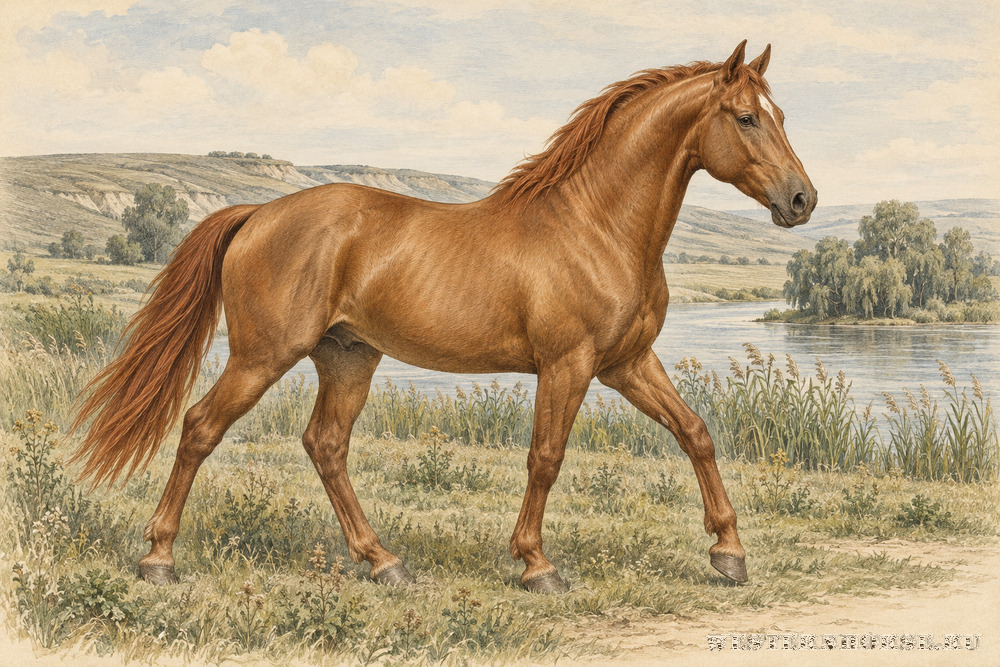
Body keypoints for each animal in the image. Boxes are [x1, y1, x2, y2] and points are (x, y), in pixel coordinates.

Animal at [71, 41, 815, 594]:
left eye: (781, 113)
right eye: (745, 117)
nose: (802, 199)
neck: (595, 226)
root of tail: (258, 213)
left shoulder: (627, 363)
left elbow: (696, 433)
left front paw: (729, 552)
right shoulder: (568, 365)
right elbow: (546, 456)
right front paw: (536, 565)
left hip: (348, 356)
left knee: (326, 445)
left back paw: (384, 562)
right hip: (263, 356)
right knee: (201, 427)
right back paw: (159, 559)